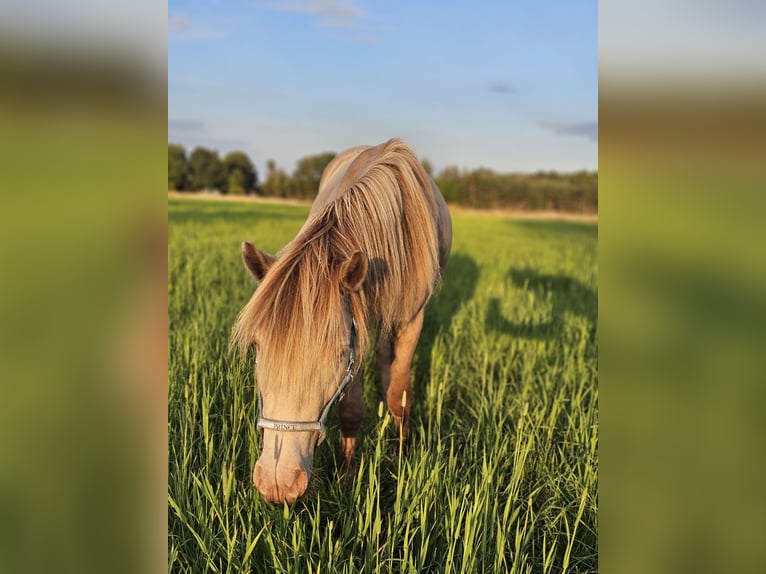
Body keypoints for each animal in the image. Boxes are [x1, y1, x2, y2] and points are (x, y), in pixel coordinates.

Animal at [231, 138, 452, 504]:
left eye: (336, 354)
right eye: (257, 347)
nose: (278, 483)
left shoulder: (410, 320)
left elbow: (400, 395)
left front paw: (402, 455)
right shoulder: (358, 324)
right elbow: (351, 408)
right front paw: (347, 475)